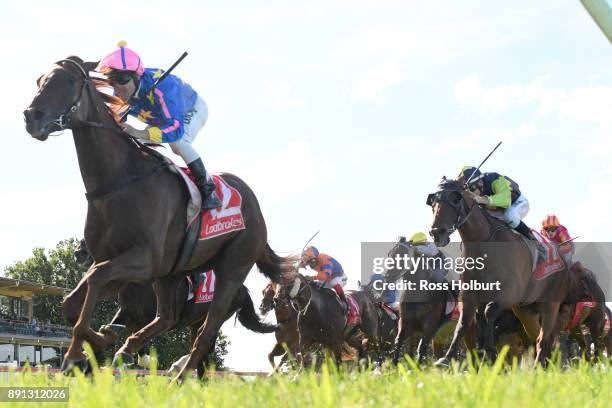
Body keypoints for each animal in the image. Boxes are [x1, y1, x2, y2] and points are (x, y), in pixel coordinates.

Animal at [25, 57, 298, 380]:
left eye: (69, 80)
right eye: (40, 80)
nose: (32, 116)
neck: (119, 182)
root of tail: (255, 207)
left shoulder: (145, 261)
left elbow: (95, 278)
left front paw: (77, 352)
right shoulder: (119, 267)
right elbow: (72, 302)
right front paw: (99, 340)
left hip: (232, 271)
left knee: (205, 334)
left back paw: (177, 378)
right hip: (173, 273)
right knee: (167, 316)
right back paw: (133, 350)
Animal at [428, 178, 568, 366]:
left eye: (455, 198)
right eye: (433, 201)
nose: (437, 233)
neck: (482, 244)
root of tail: (560, 254)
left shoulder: (509, 293)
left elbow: (489, 312)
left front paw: (489, 352)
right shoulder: (468, 295)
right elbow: (463, 323)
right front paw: (446, 358)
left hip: (550, 305)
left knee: (544, 338)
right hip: (525, 310)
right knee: (537, 337)